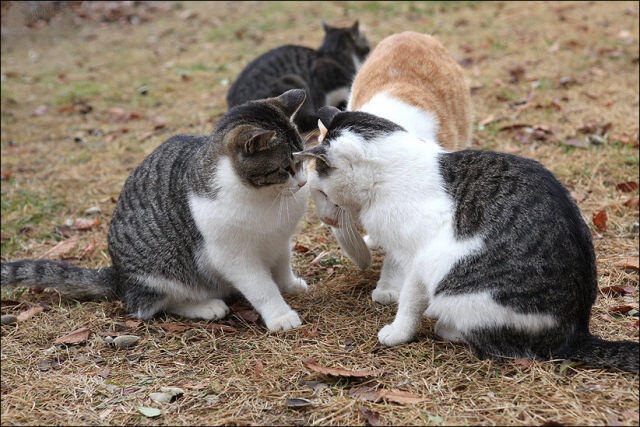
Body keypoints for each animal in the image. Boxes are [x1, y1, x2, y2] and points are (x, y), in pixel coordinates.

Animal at [0, 88, 310, 332]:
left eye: (303, 160)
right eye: (286, 167)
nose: (303, 182)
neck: (265, 198)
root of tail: (118, 276)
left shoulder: (279, 240)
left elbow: (282, 267)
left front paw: (290, 285)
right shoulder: (234, 256)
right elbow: (262, 287)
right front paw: (280, 315)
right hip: (161, 274)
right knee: (149, 306)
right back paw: (205, 306)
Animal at [296, 105, 640, 372]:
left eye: (321, 192)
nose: (326, 218)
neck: (392, 172)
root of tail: (576, 331)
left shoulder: (419, 260)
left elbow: (409, 301)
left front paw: (397, 332)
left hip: (462, 286)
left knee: (498, 343)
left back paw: (446, 324)